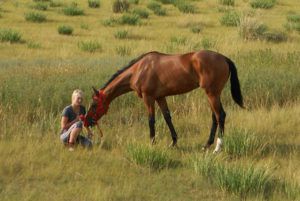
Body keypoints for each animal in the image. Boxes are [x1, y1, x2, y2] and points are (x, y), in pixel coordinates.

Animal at [84, 49, 244, 152]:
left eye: (94, 104)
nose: (86, 121)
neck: (139, 69)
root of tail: (224, 58)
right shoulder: (160, 97)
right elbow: (167, 117)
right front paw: (173, 142)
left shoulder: (148, 98)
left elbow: (151, 120)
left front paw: (152, 142)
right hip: (212, 95)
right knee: (215, 117)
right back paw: (206, 145)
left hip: (212, 94)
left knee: (220, 115)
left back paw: (218, 147)